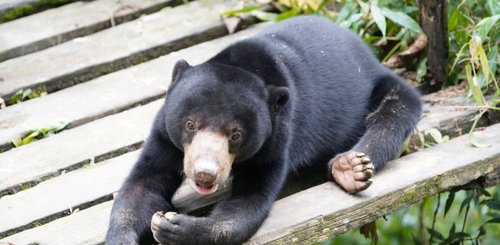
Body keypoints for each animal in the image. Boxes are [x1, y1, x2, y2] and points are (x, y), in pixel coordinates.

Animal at [105, 15, 422, 245]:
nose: (205, 174)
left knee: (396, 113)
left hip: (381, 90)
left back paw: (350, 168)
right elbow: (143, 184)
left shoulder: (276, 141)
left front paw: (175, 227)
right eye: (190, 124)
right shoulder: (164, 134)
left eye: (235, 135)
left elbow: (249, 202)